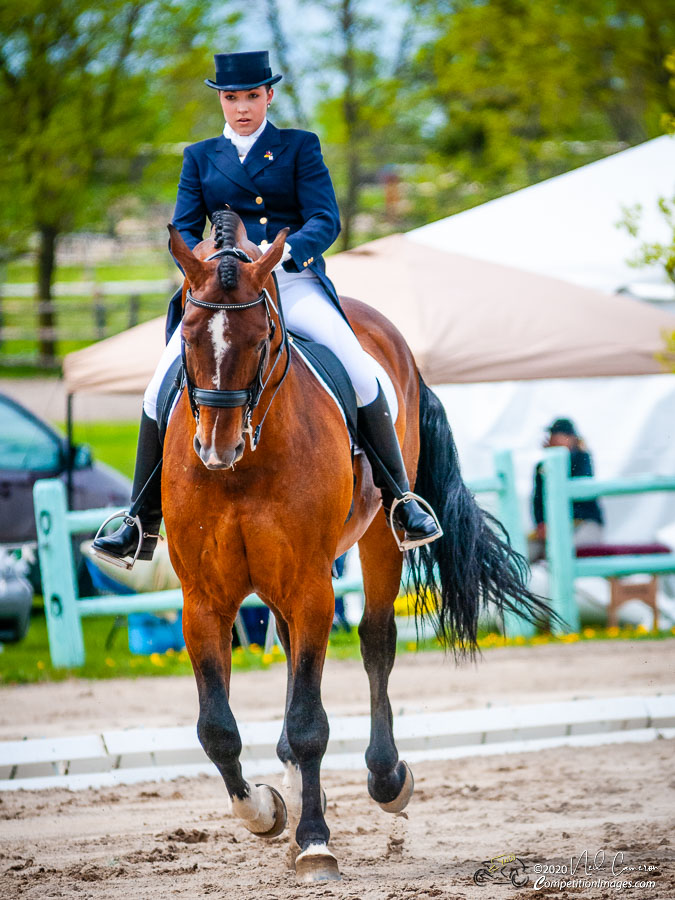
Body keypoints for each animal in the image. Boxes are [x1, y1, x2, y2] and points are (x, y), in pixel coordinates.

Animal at [162, 209, 548, 880]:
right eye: (186, 335)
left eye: (260, 337)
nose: (215, 447)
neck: (243, 470)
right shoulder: (203, 599)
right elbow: (217, 728)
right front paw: (264, 811)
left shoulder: (313, 584)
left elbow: (311, 719)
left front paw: (316, 842)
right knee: (291, 650)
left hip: (378, 539)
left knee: (375, 640)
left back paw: (386, 777)